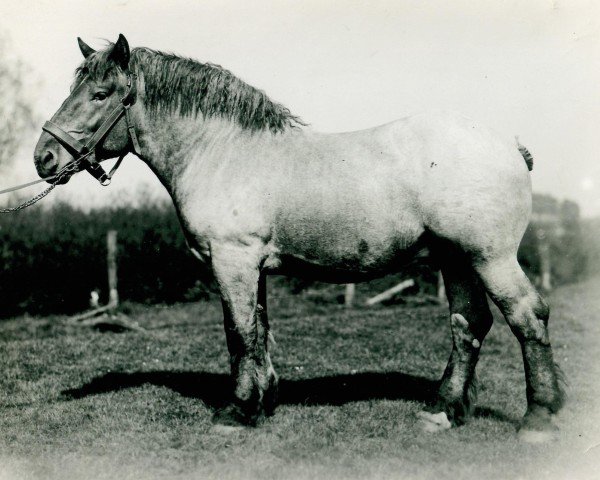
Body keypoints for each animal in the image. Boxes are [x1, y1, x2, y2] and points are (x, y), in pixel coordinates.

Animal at [35, 33, 564, 442]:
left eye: (101, 93)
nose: (43, 157)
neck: (222, 152)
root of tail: (508, 144)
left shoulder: (232, 261)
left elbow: (238, 332)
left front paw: (236, 412)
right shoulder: (252, 266)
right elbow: (258, 330)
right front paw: (263, 402)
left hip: (490, 257)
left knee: (527, 316)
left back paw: (539, 418)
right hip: (455, 260)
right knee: (468, 324)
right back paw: (443, 411)